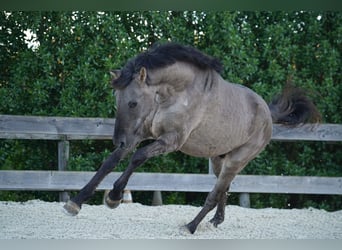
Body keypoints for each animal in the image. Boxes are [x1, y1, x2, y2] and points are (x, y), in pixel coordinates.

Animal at [63, 41, 320, 234]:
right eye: (116, 100)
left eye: (133, 103)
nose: (119, 140)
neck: (177, 92)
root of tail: (266, 110)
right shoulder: (141, 133)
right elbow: (110, 162)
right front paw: (75, 202)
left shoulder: (171, 140)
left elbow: (138, 157)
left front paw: (114, 197)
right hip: (218, 159)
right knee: (224, 188)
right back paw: (215, 221)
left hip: (237, 159)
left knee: (214, 193)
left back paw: (191, 226)